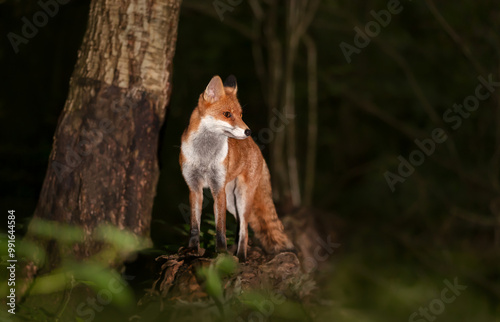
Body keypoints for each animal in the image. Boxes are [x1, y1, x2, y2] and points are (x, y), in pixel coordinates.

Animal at [180, 75, 294, 262]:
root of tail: (257, 148)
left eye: (240, 115)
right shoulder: (194, 187)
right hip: (231, 202)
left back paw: (241, 256)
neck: (204, 157)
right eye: (227, 114)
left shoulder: (217, 189)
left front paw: (221, 253)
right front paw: (192, 250)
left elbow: (220, 228)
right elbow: (195, 226)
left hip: (242, 197)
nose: (248, 131)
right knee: (240, 224)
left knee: (245, 230)